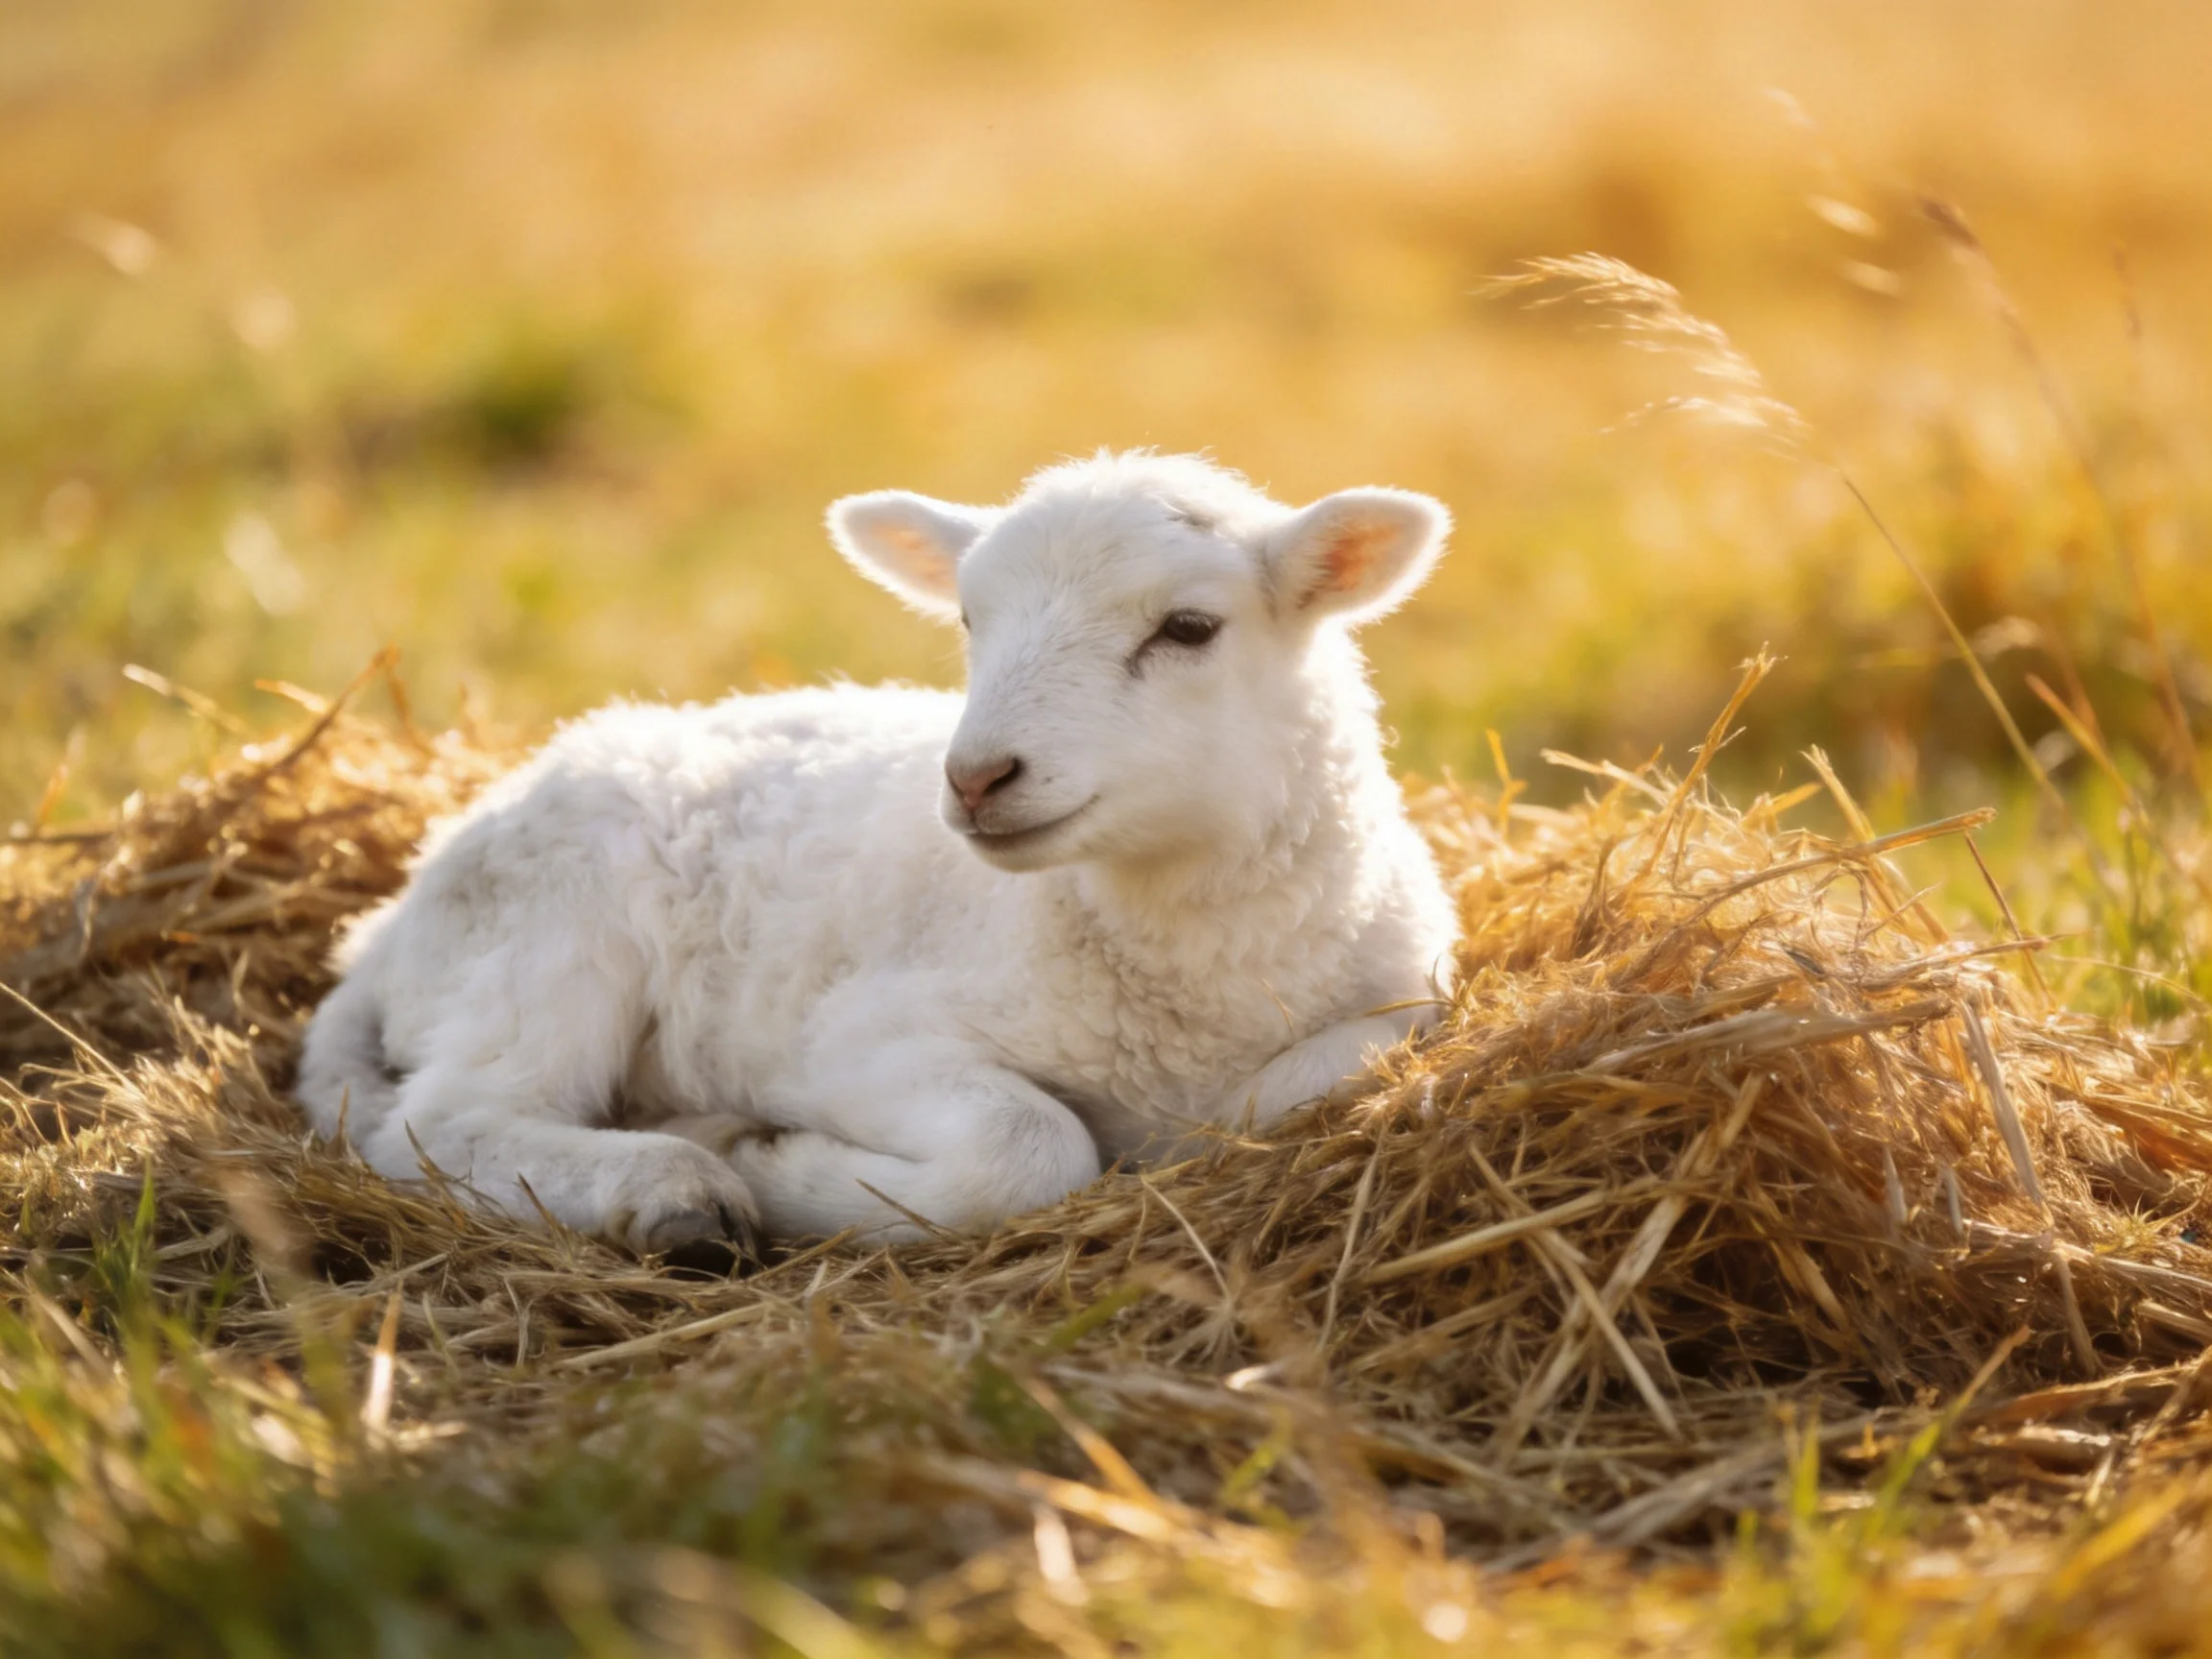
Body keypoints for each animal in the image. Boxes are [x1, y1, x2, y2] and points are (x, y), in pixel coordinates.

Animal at [296, 451, 1458, 1257]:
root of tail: (385, 927)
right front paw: (778, 1168)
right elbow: (1030, 1150)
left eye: (1187, 628)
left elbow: (1293, 1089)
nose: (977, 778)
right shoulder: (856, 1039)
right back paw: (675, 1188)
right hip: (550, 936)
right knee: (445, 1121)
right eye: (969, 618)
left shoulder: (1411, 995)